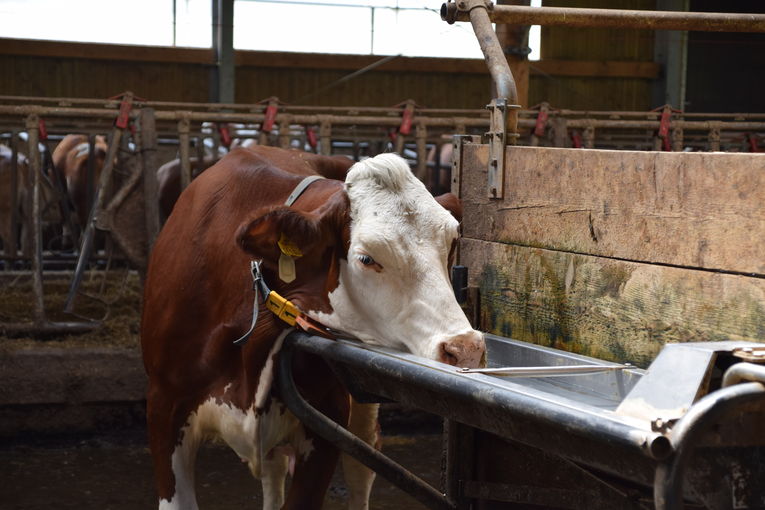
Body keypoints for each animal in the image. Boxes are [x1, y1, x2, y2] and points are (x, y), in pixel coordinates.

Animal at [140, 145, 480, 508]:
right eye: (366, 259)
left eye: (451, 243)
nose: (467, 349)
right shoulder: (163, 408)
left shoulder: (327, 420)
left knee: (361, 468)